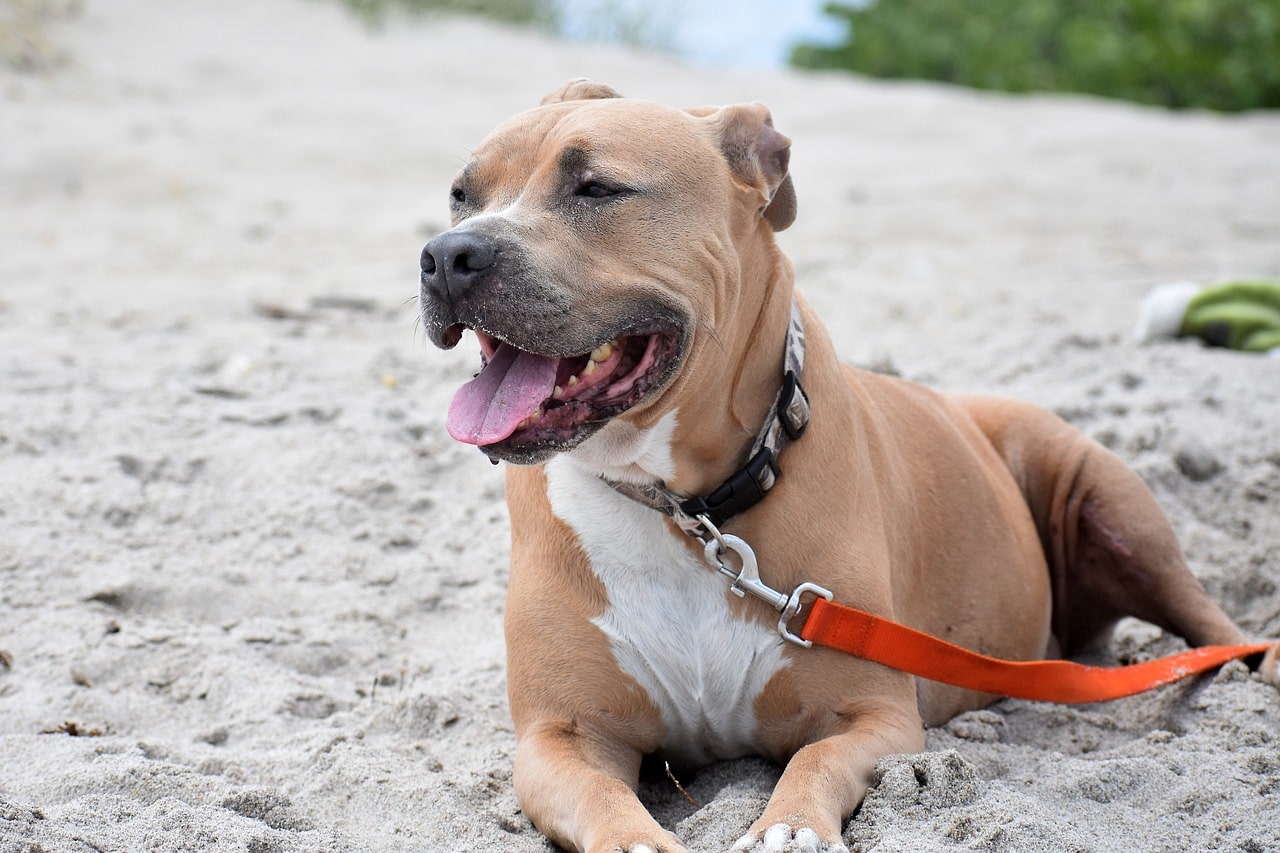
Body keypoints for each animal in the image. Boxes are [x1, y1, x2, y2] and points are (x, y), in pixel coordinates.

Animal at [417, 79, 1269, 850]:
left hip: (1103, 496)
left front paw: (788, 826)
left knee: (1211, 619)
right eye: (461, 195)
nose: (447, 254)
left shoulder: (876, 715)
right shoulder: (560, 736)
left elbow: (816, 761)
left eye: (596, 188)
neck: (686, 508)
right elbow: (603, 798)